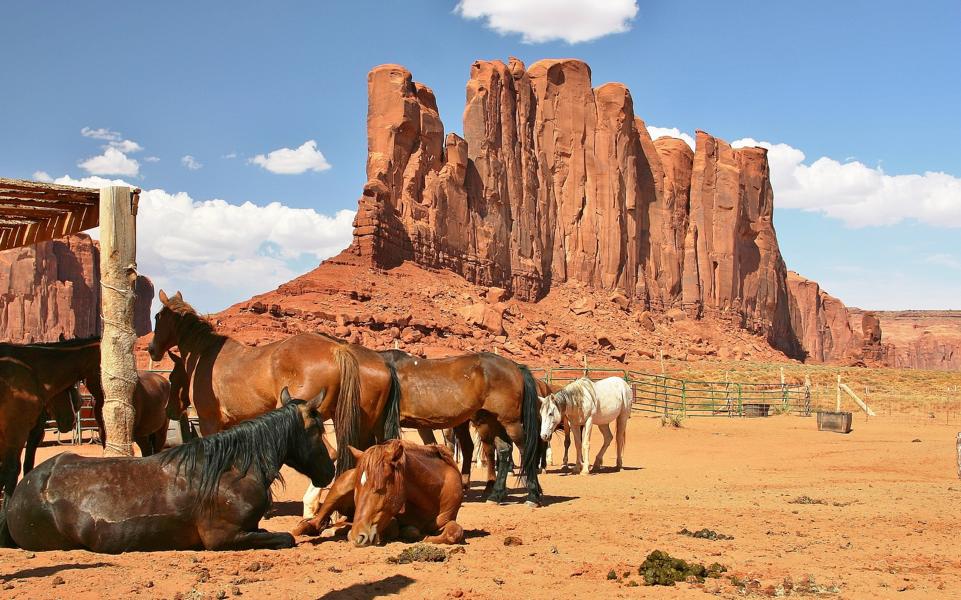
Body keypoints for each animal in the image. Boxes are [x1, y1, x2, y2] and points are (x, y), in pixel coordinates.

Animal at [0, 386, 336, 552]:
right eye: (318, 429)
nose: (329, 473)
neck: (232, 471)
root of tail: (18, 494)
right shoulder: (224, 538)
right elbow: (286, 538)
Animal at [145, 292, 398, 474]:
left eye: (157, 317)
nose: (151, 349)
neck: (206, 356)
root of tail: (337, 349)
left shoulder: (209, 422)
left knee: (336, 454)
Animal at [290, 438, 464, 548]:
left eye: (380, 488)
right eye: (357, 489)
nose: (358, 536)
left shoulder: (446, 519)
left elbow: (455, 531)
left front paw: (428, 537)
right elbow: (397, 527)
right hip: (338, 490)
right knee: (316, 521)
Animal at [376, 346, 540, 506]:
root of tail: (515, 366)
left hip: (509, 422)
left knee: (524, 450)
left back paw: (533, 496)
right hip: (494, 421)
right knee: (503, 450)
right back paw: (495, 494)